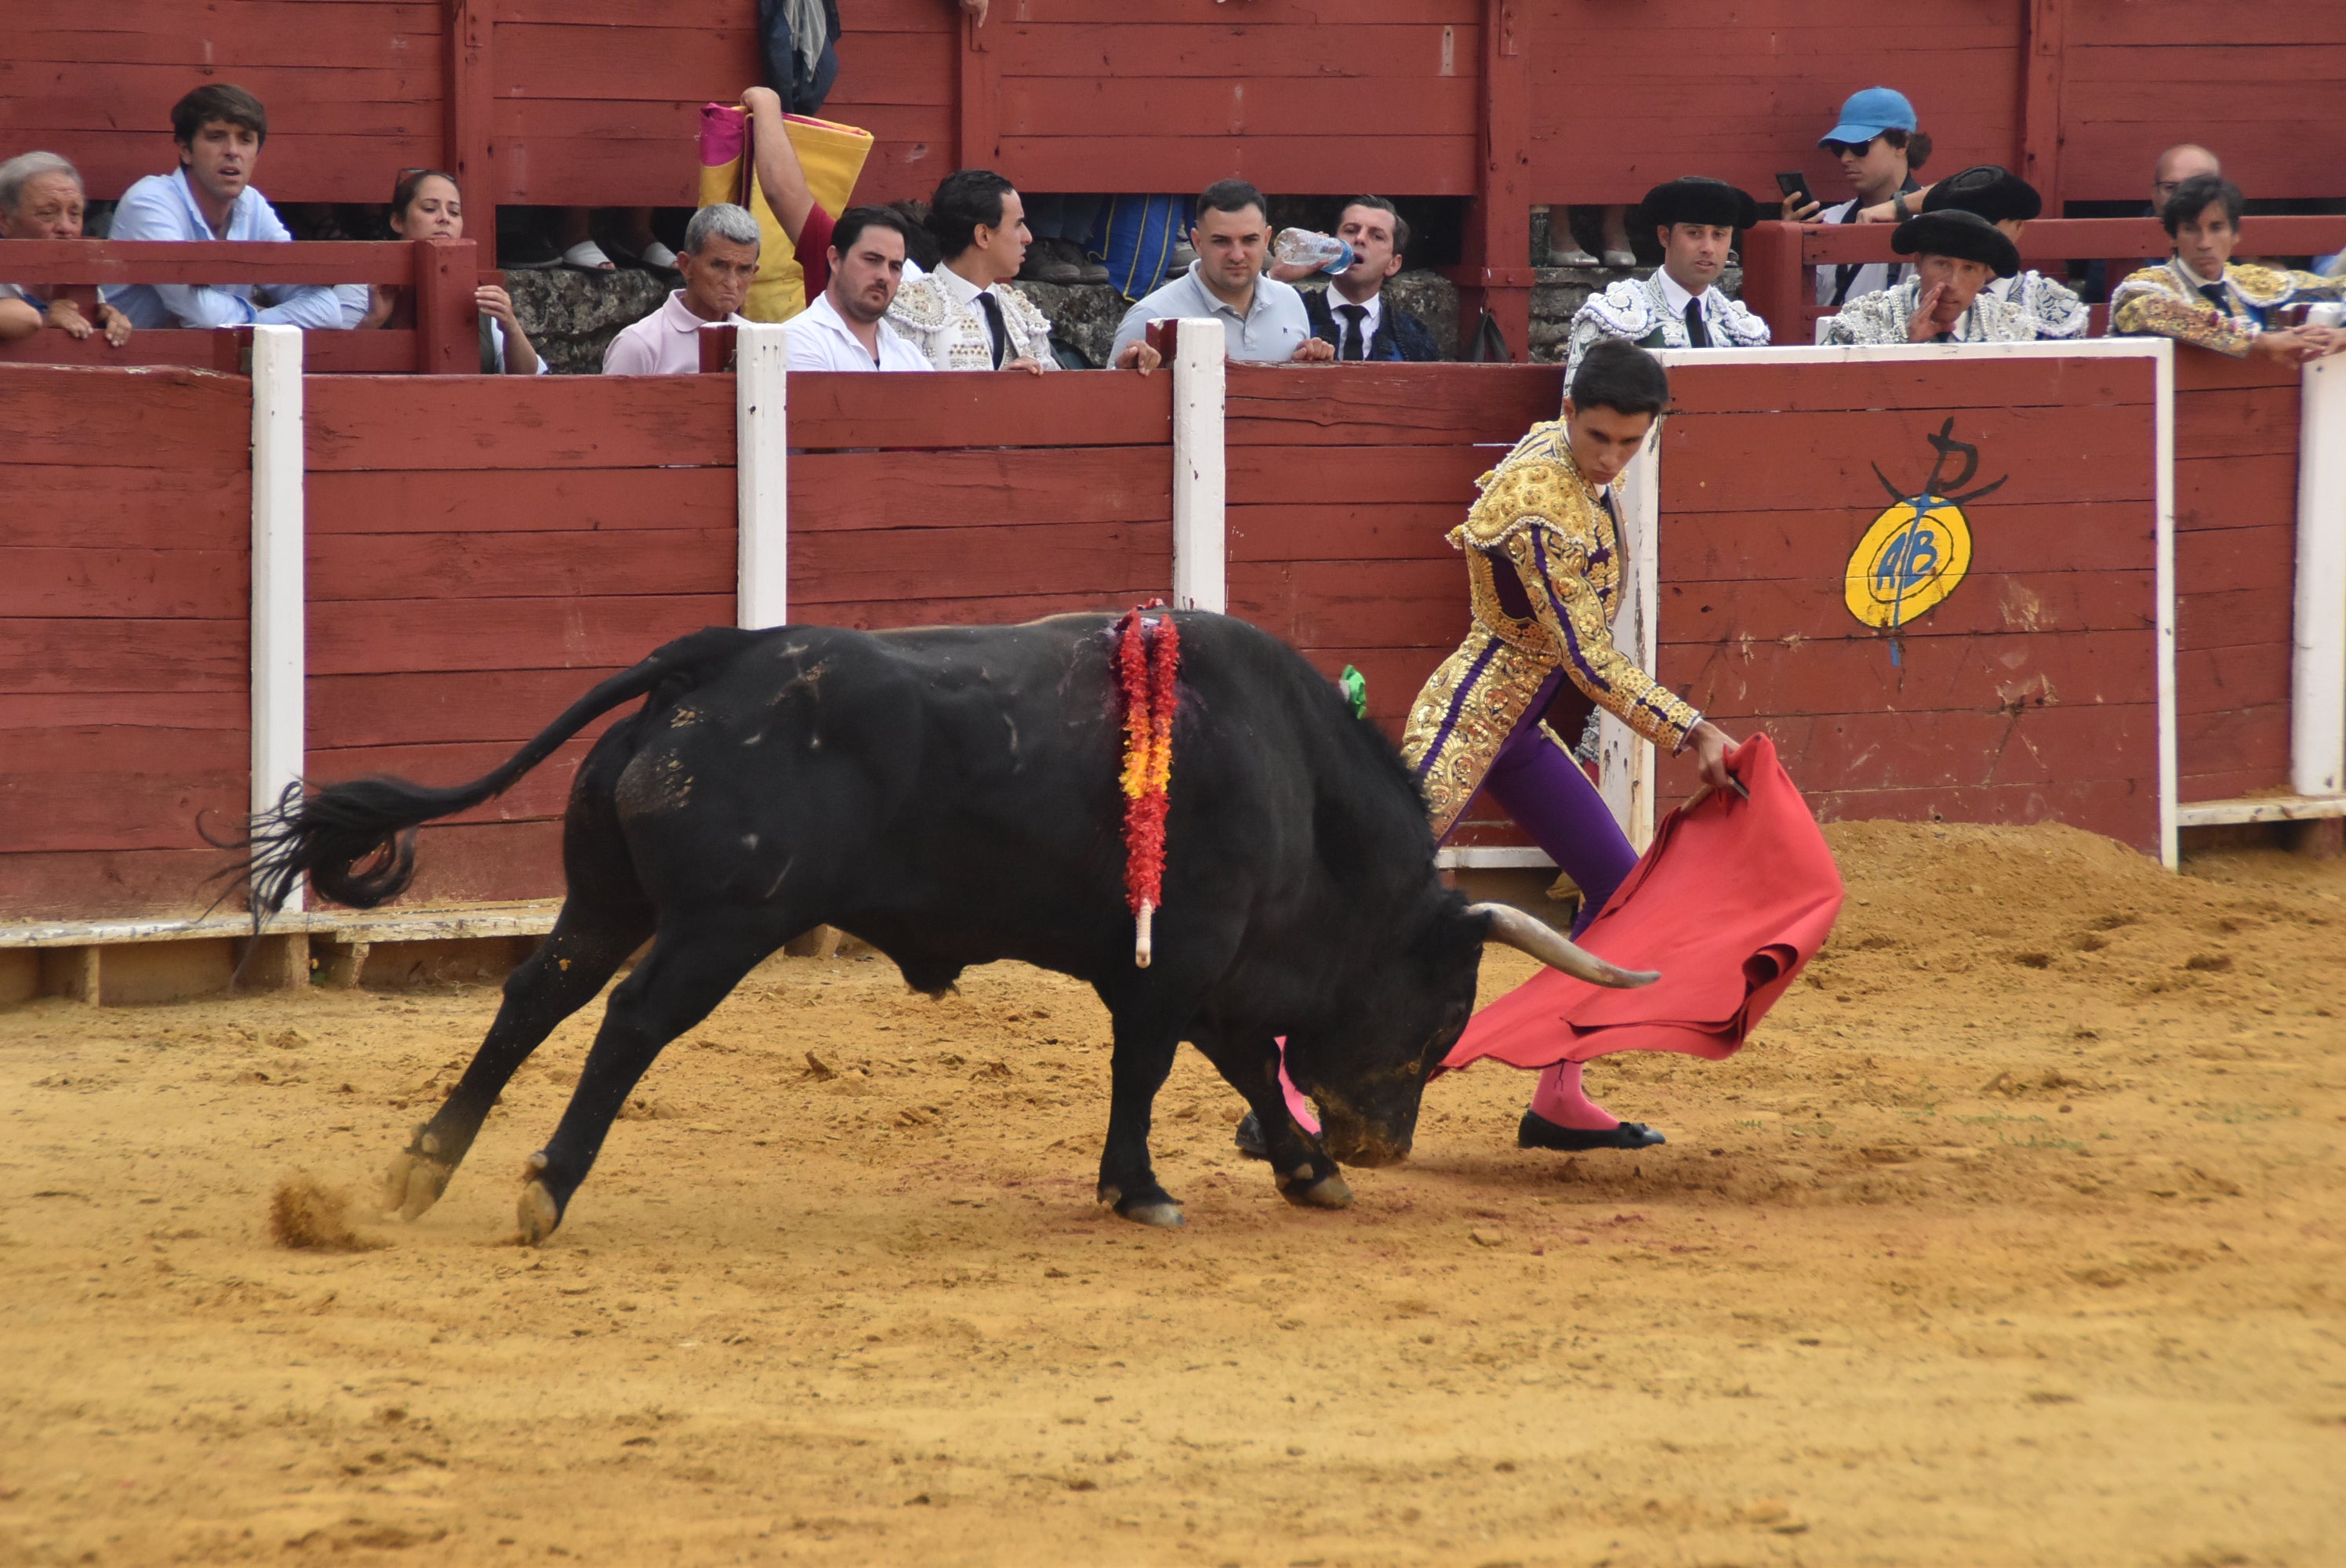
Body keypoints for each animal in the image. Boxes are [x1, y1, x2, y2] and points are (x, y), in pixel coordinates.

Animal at [242, 610, 1651, 1239]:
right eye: (1441, 1009)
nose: (1379, 1147)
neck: (1292, 783)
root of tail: (717, 656)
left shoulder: (1191, 970)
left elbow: (1239, 1062)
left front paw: (1303, 1171)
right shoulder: (1178, 963)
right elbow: (1154, 1071)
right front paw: (1144, 1191)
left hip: (609, 896)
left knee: (537, 994)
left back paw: (422, 1171)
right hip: (720, 925)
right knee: (632, 1020)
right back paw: (545, 1188)